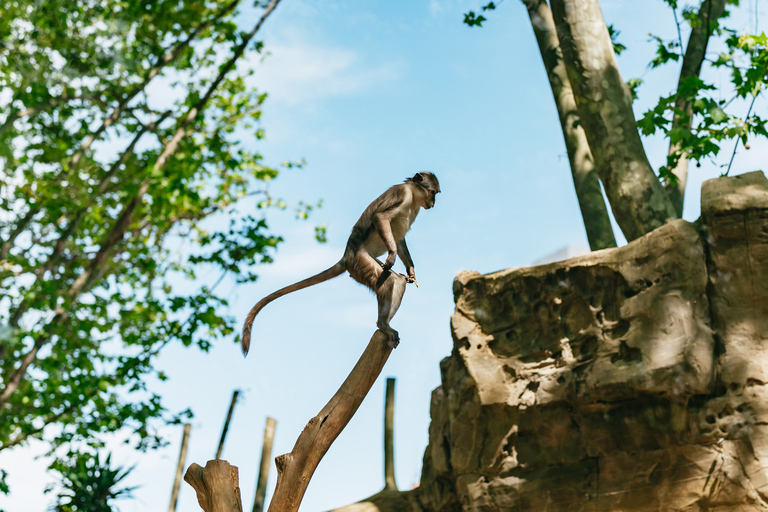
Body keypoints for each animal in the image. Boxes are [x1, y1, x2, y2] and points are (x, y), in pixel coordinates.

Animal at [243, 172, 440, 356]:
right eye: (432, 193)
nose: (433, 202)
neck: (412, 197)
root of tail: (347, 256)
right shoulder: (402, 193)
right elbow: (380, 217)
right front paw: (392, 255)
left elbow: (399, 241)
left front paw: (411, 271)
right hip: (360, 261)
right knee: (389, 280)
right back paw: (383, 324)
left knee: (396, 281)